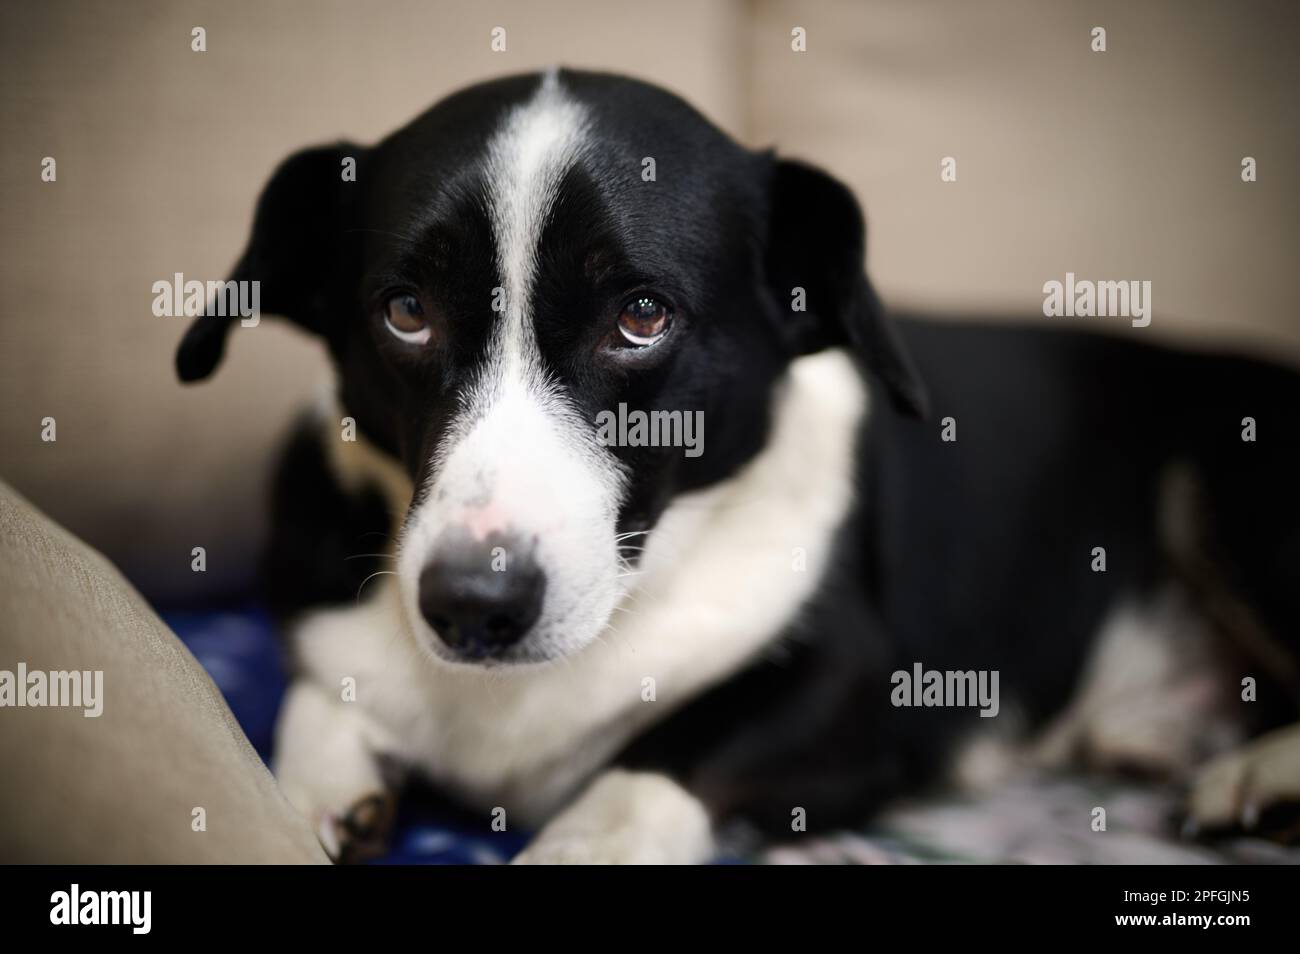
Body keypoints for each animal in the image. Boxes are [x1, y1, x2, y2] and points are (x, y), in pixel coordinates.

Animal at [175, 65, 1300, 857]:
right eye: (405, 312)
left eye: (641, 316)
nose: (472, 606)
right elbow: (319, 694)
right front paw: (322, 784)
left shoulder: (858, 694)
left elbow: (660, 762)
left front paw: (583, 843)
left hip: (1230, 486)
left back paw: (1257, 779)